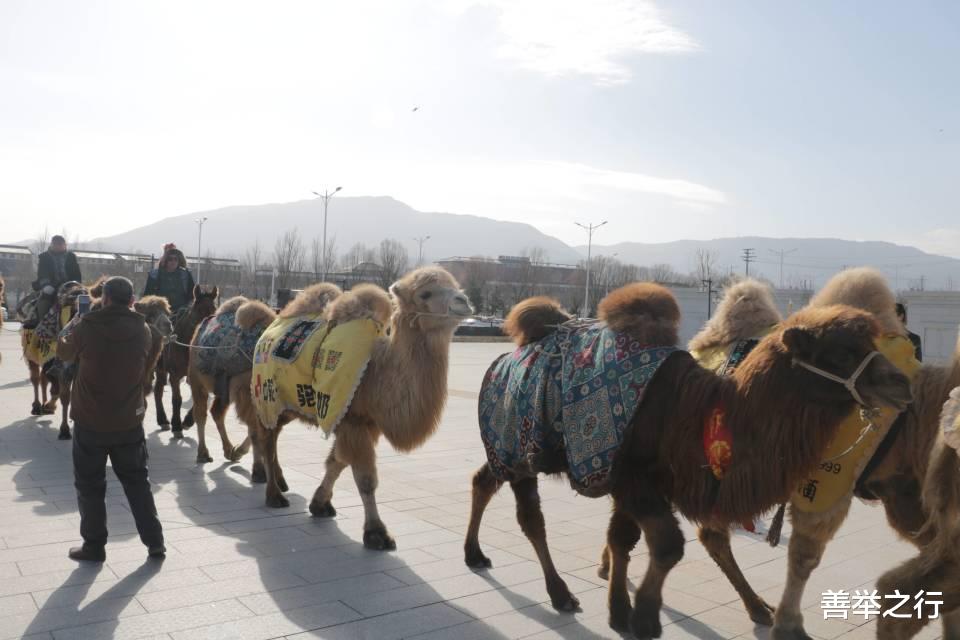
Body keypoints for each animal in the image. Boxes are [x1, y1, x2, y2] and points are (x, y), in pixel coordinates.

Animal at [154, 285, 218, 434]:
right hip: (159, 369)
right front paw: (177, 425)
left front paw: (188, 421)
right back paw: (163, 419)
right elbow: (177, 399)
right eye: (199, 310)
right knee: (158, 391)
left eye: (214, 309)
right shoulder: (175, 375)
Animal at [251, 267, 472, 549]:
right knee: (266, 438)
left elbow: (337, 462)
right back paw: (274, 495)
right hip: (267, 394)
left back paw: (279, 482)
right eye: (426, 293)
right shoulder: (352, 420)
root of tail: (272, 325)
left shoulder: (366, 422)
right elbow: (365, 478)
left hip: (287, 404)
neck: (376, 372)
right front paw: (376, 533)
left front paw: (320, 504)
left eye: (456, 285)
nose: (463, 301)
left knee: (274, 434)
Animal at [463, 283, 913, 638]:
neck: (699, 413)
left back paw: (476, 555)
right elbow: (668, 545)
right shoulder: (634, 479)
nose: (902, 383)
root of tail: (499, 361)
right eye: (841, 352)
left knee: (484, 479)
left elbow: (624, 539)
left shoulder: (636, 482)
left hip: (507, 451)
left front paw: (621, 612)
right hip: (518, 446)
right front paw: (644, 619)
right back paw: (559, 593)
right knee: (530, 517)